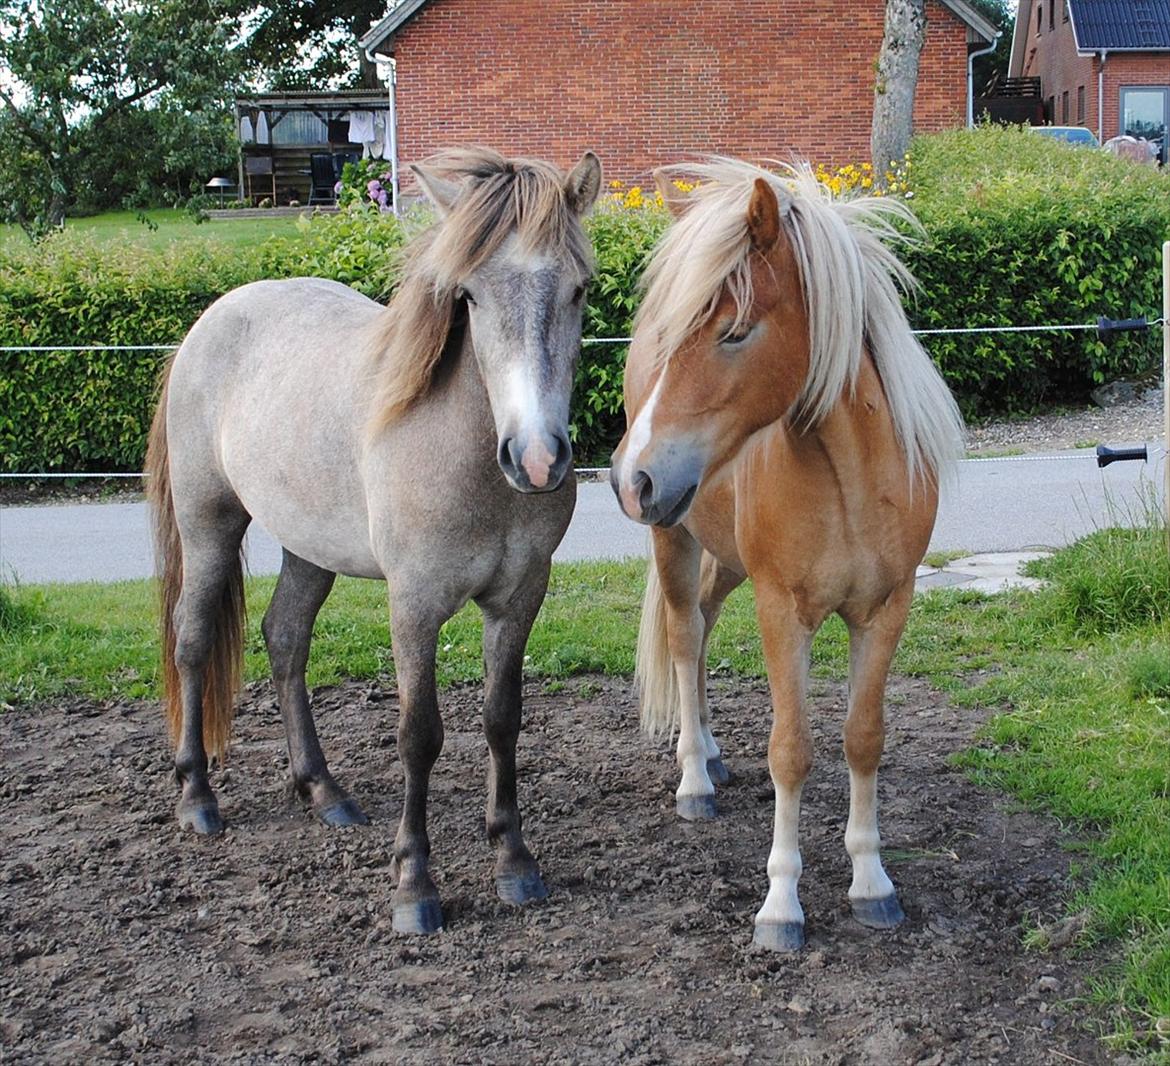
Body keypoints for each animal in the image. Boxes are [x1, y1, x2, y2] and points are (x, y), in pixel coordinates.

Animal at [146, 148, 603, 936]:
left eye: (579, 289)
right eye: (469, 296)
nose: (538, 459)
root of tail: (208, 322)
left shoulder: (519, 598)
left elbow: (502, 720)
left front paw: (513, 860)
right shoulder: (413, 606)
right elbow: (419, 734)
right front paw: (414, 885)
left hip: (309, 548)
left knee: (285, 638)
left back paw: (322, 791)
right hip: (210, 526)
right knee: (194, 641)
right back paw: (197, 799)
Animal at [608, 157, 964, 950]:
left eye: (736, 331)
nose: (632, 478)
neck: (851, 483)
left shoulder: (887, 610)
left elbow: (863, 738)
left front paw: (872, 883)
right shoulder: (782, 613)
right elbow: (790, 750)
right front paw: (781, 904)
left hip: (722, 556)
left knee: (703, 625)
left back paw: (710, 752)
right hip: (673, 538)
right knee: (684, 634)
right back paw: (695, 780)